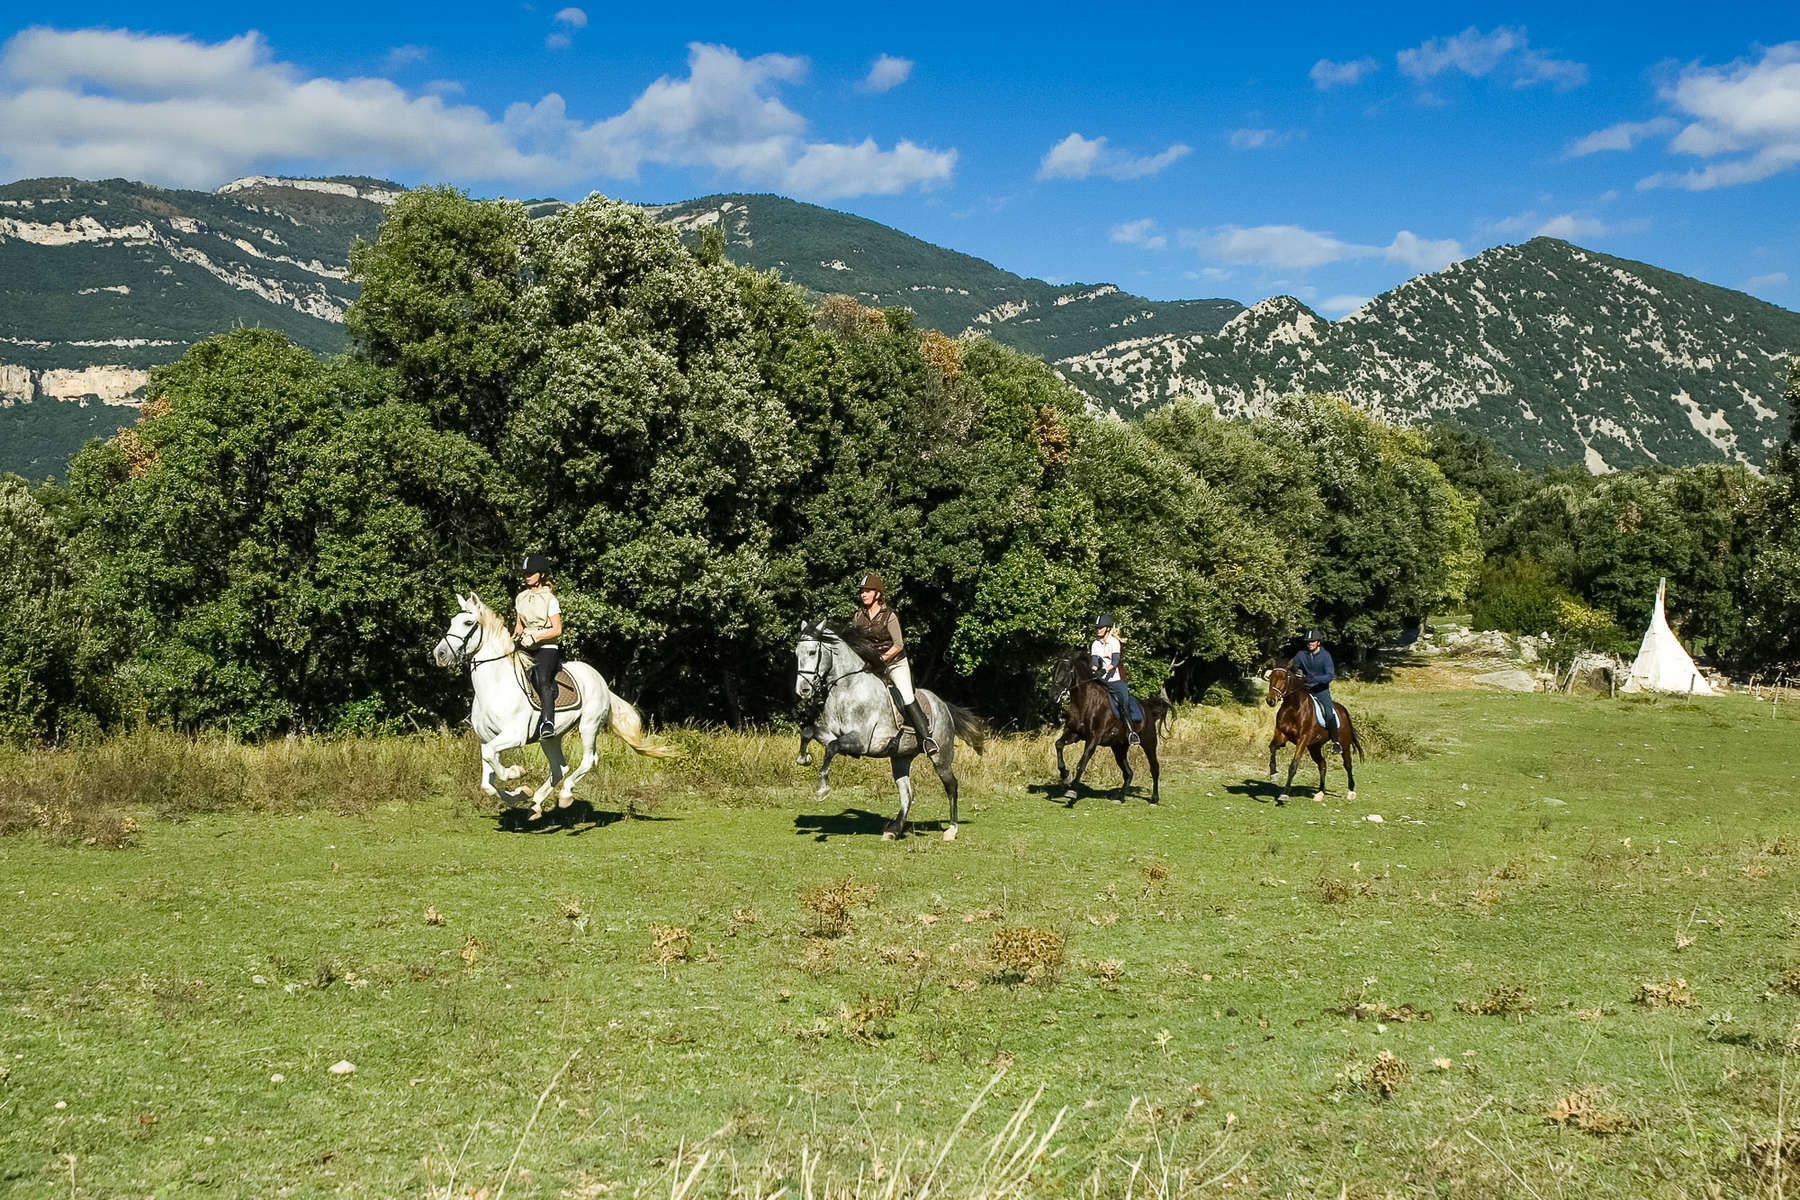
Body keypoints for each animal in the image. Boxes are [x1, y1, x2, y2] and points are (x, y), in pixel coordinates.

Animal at [432, 597, 676, 820]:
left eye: (467, 622)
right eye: (452, 621)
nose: (439, 654)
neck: (496, 686)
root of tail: (600, 679)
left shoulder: (514, 735)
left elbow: (494, 759)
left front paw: (516, 772)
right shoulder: (486, 739)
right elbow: (487, 782)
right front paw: (522, 793)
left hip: (588, 726)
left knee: (588, 760)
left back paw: (565, 795)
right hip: (550, 737)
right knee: (560, 768)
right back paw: (535, 804)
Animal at [792, 626, 986, 841]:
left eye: (812, 652)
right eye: (797, 654)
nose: (803, 690)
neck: (848, 688)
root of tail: (943, 704)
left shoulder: (861, 742)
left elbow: (832, 748)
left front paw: (822, 789)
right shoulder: (834, 734)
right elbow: (809, 732)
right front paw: (803, 759)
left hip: (940, 757)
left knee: (951, 785)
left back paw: (951, 829)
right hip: (900, 758)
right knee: (907, 793)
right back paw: (894, 830)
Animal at [1051, 647, 1173, 805]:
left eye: (1067, 670)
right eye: (1054, 669)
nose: (1052, 694)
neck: (1085, 702)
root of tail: (1147, 708)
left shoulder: (1093, 738)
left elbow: (1082, 763)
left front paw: (1072, 791)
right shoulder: (1074, 733)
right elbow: (1059, 744)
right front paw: (1065, 775)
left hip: (1149, 743)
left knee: (1154, 768)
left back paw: (1154, 799)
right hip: (1119, 748)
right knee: (1128, 773)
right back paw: (1120, 798)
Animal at [1267, 662, 1360, 802]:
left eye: (1283, 679)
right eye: (1270, 677)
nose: (1270, 700)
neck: (1293, 707)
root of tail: (1342, 709)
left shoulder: (1303, 739)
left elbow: (1293, 765)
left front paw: (1285, 794)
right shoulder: (1282, 734)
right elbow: (1272, 747)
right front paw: (1274, 774)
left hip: (1344, 744)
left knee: (1348, 765)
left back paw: (1351, 792)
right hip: (1314, 747)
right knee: (1322, 764)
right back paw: (1320, 793)